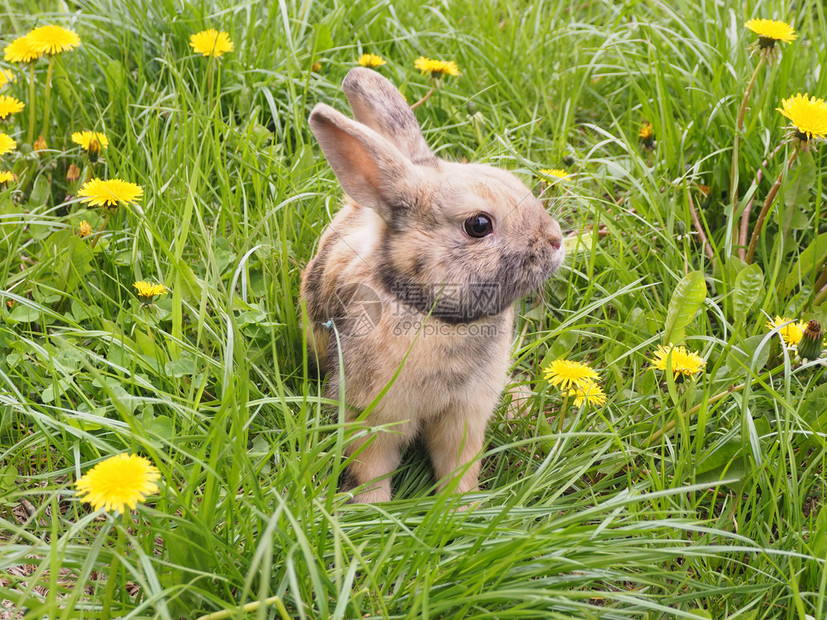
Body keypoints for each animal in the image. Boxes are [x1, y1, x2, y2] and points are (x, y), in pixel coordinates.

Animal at [300, 68, 568, 504]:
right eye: (479, 225)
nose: (556, 241)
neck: (433, 312)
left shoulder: (465, 415)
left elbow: (459, 463)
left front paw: (459, 507)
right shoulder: (373, 415)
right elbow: (370, 468)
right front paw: (371, 509)